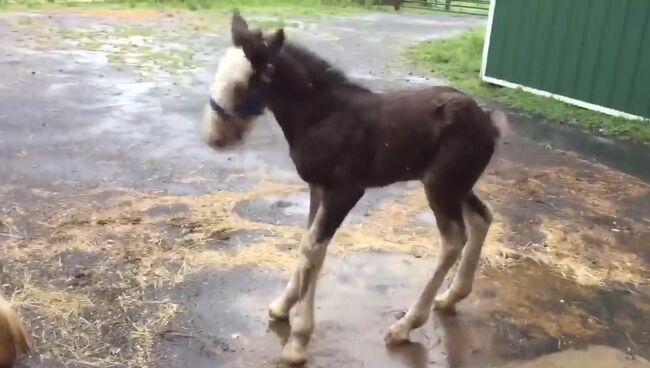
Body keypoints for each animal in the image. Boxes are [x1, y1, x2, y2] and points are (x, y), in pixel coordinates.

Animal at [201, 10, 506, 364]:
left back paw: (405, 326)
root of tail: (488, 122)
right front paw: (282, 307)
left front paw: (298, 341)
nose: (214, 136)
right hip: (456, 185)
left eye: (243, 84)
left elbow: (314, 250)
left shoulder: (345, 190)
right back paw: (451, 297)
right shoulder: (318, 187)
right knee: (482, 218)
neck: (323, 116)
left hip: (441, 186)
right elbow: (306, 244)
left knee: (453, 240)